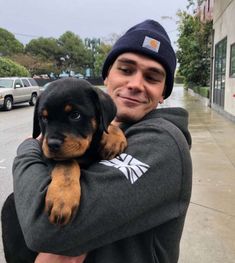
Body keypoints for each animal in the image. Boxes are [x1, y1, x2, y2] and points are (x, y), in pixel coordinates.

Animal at [32, 77, 126, 226]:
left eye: (75, 115)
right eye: (44, 117)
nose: (52, 144)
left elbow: (107, 125)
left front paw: (114, 139)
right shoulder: (45, 150)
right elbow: (67, 164)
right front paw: (62, 198)